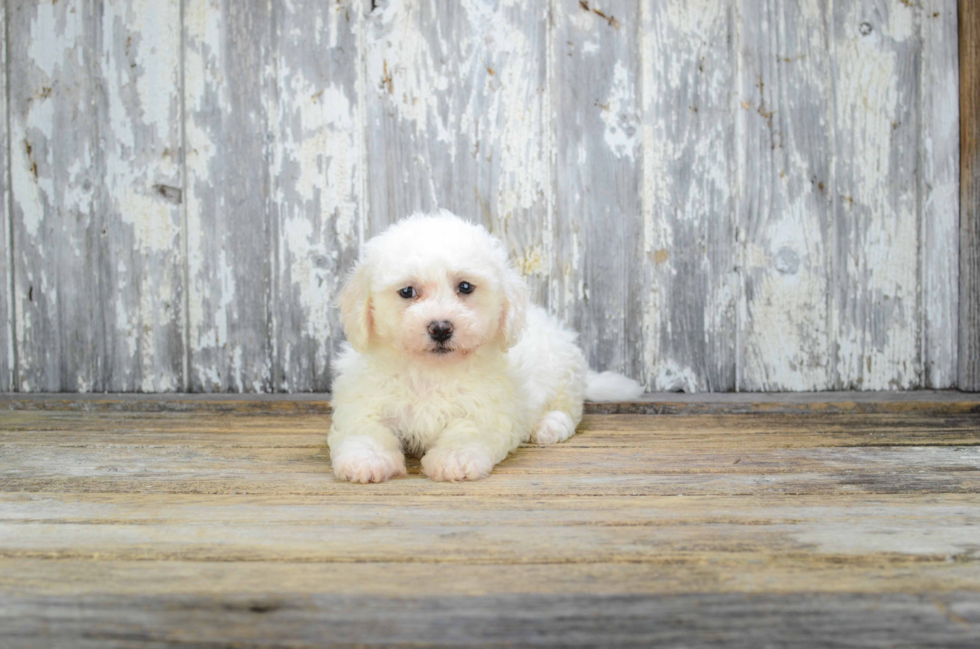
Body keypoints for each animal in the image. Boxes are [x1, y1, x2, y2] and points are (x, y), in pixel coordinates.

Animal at [330, 213, 644, 480]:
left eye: (465, 287)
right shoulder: (365, 399)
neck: (431, 370)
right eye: (407, 291)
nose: (440, 327)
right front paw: (366, 460)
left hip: (562, 368)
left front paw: (454, 459)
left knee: (567, 407)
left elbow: (469, 430)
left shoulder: (488, 408)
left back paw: (549, 425)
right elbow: (365, 427)